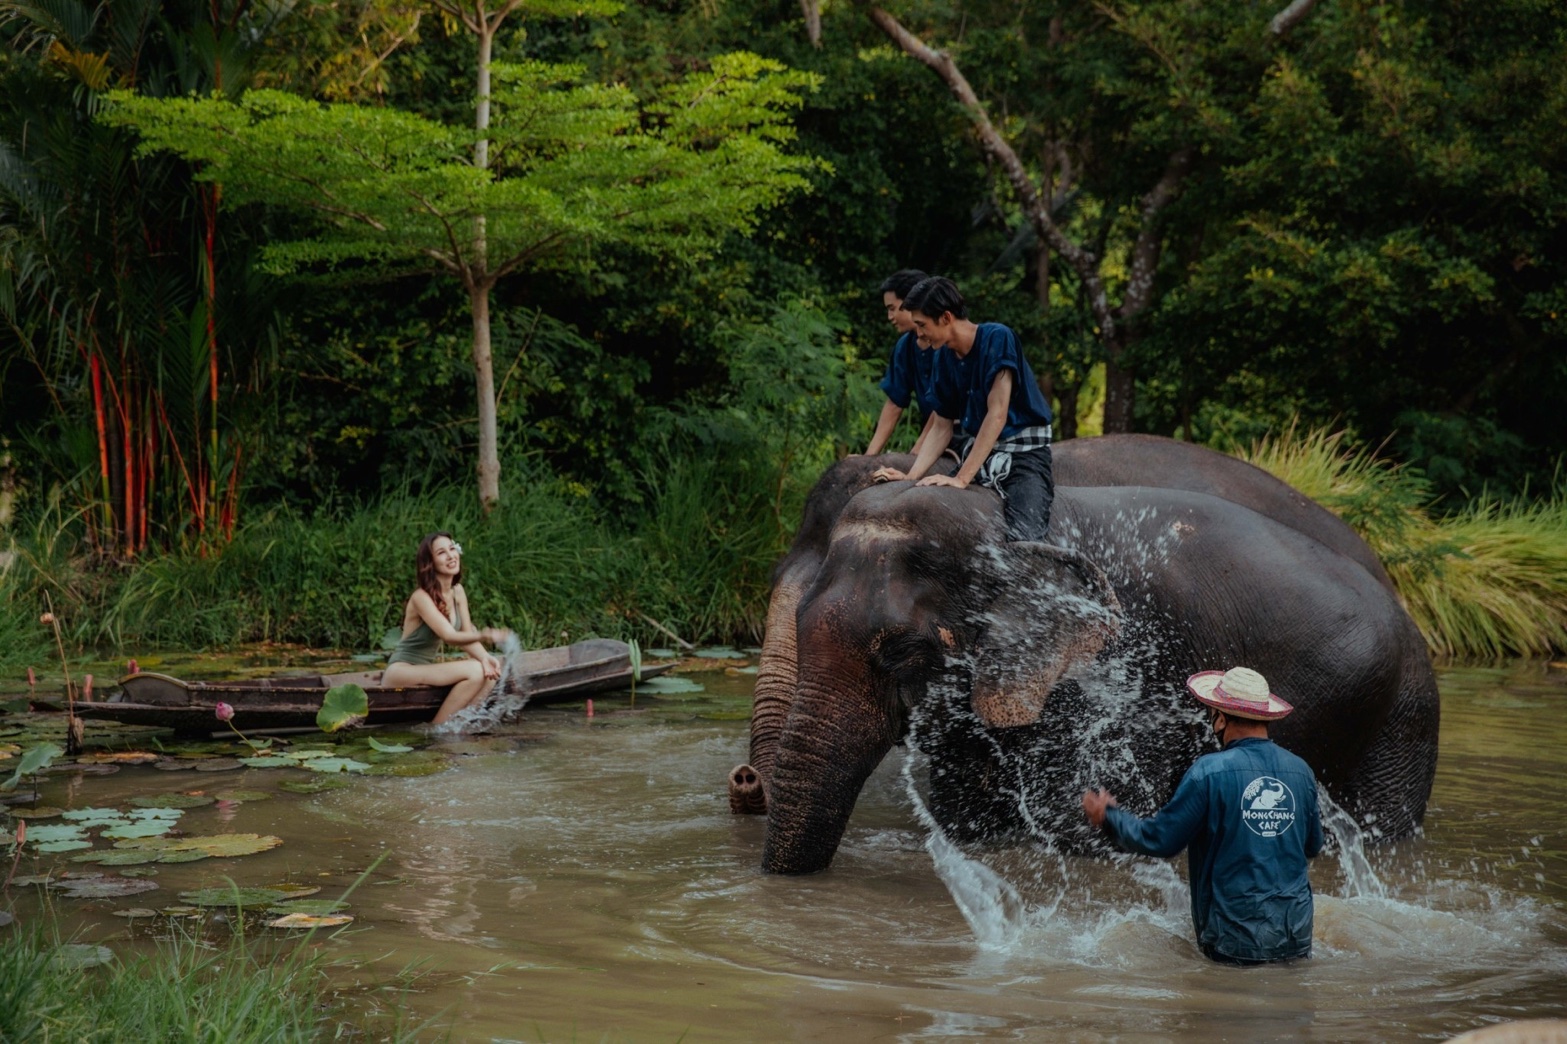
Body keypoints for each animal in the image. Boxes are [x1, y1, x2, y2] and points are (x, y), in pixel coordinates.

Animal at [727, 429, 1435, 871]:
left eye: (898, 648)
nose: (745, 779)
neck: (998, 518)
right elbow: (969, 815)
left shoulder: (1122, 673)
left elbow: (1087, 818)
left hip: (1398, 721)